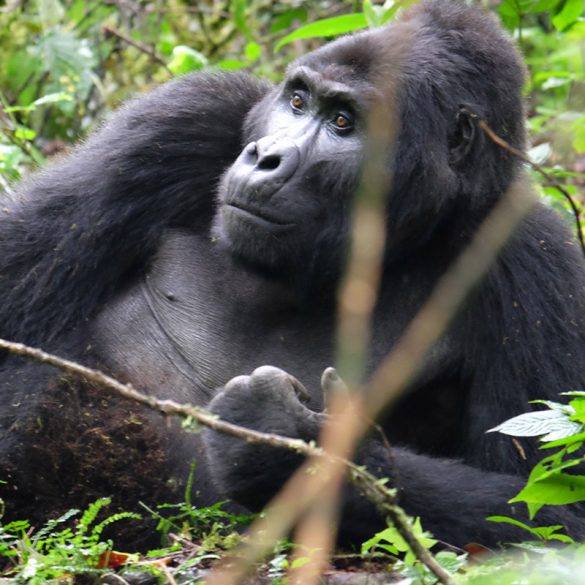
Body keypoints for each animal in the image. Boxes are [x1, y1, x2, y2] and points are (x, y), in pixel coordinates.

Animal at [1, 0, 584, 548]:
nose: (265, 157)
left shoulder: (530, 257)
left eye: (343, 122)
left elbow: (549, 509)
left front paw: (280, 445)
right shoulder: (184, 119)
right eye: (298, 101)